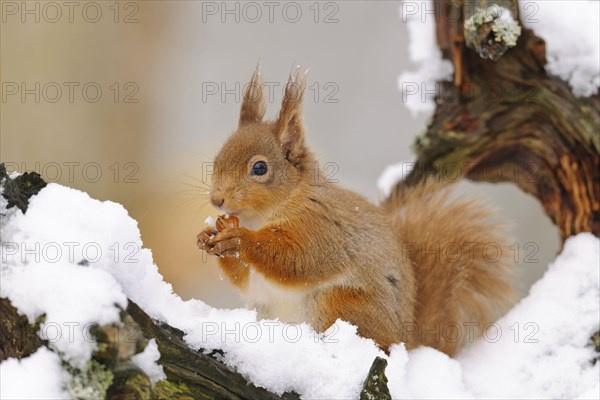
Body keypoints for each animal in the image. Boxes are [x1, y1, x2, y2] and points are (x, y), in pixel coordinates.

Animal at [196, 66, 510, 356]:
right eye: (217, 159)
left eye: (260, 168)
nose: (217, 199)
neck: (260, 217)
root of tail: (406, 340)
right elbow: (244, 279)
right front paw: (208, 236)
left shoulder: (321, 226)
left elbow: (301, 260)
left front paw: (239, 239)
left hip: (341, 304)